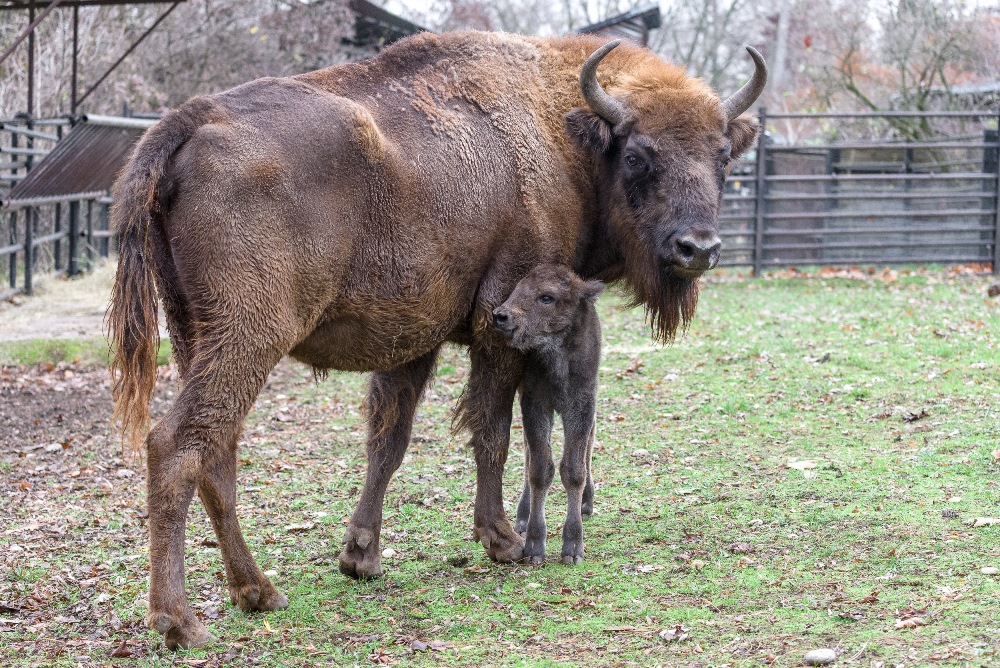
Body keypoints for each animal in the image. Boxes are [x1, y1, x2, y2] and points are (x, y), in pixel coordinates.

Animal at [492, 266, 600, 564]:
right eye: (516, 289)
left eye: (547, 297)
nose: (501, 315)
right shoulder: (535, 404)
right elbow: (540, 468)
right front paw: (534, 546)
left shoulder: (581, 405)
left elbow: (573, 469)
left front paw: (573, 548)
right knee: (530, 454)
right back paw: (522, 516)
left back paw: (587, 501)